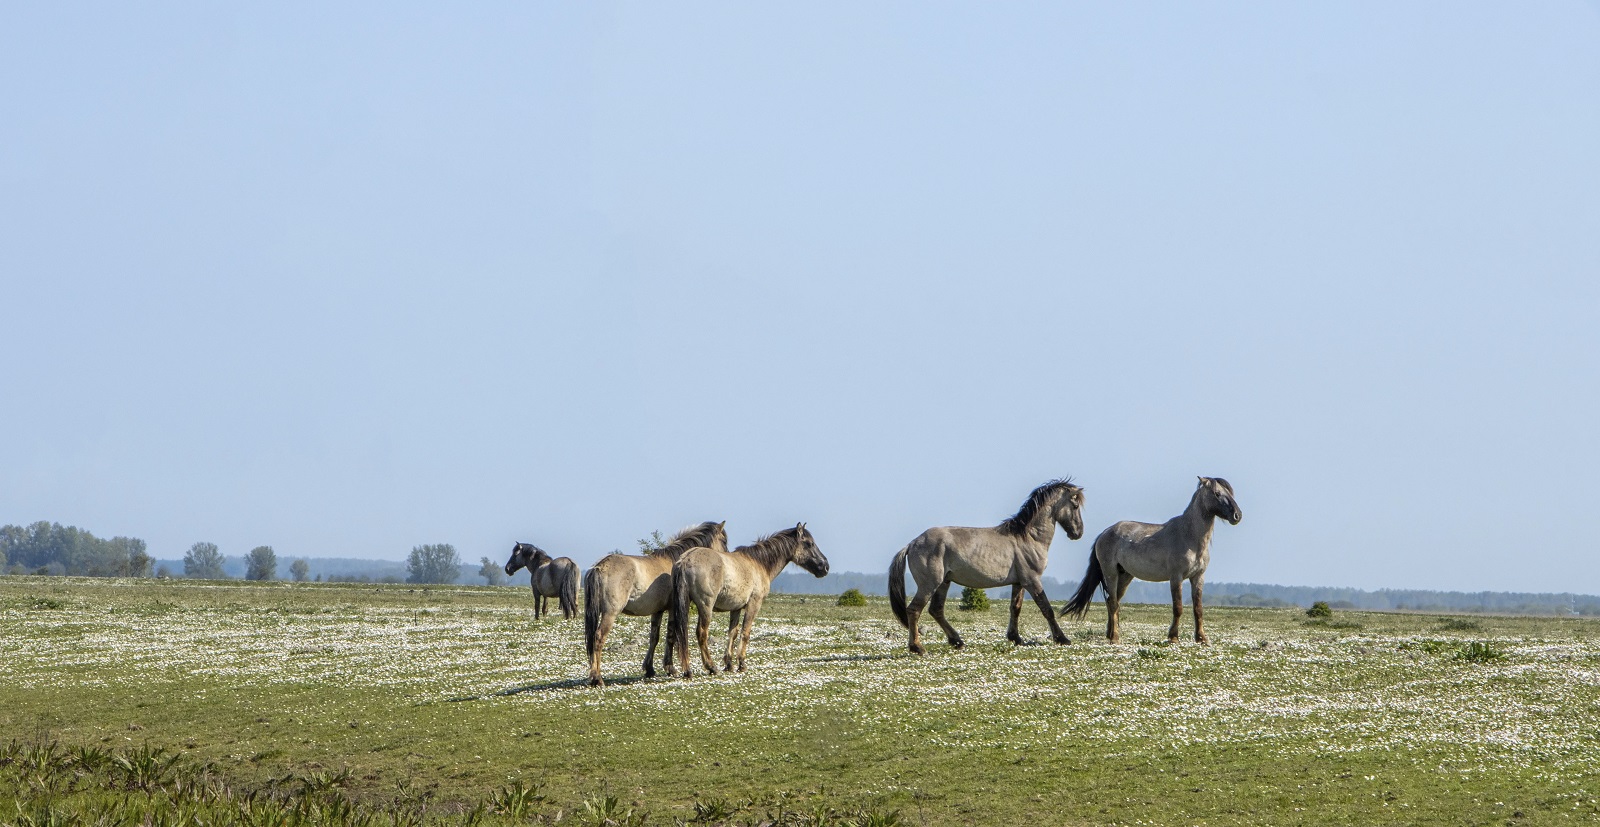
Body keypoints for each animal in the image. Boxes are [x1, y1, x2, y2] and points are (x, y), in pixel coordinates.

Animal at [585, 518, 729, 687]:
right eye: (724, 540)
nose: (726, 555)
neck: (675, 561)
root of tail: (599, 567)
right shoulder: (673, 609)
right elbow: (671, 636)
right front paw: (670, 668)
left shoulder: (657, 611)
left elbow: (654, 638)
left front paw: (650, 668)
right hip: (610, 613)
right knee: (598, 637)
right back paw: (597, 677)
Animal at [668, 521, 832, 678]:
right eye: (809, 543)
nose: (825, 567)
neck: (759, 563)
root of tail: (685, 560)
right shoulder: (754, 604)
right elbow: (745, 633)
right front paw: (741, 664)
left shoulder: (735, 608)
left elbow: (732, 633)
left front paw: (729, 664)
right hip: (705, 607)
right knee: (701, 633)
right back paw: (711, 667)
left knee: (680, 633)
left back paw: (688, 670)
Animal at [889, 476, 1088, 652]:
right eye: (1075, 505)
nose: (1078, 533)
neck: (1028, 537)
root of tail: (912, 544)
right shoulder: (1032, 580)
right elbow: (1047, 609)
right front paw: (1062, 638)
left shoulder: (1019, 582)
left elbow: (1015, 608)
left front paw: (1015, 638)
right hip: (929, 584)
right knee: (914, 610)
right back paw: (918, 648)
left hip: (944, 582)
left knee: (936, 610)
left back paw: (957, 642)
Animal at [1062, 473, 1248, 643]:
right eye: (1217, 493)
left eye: (1230, 493)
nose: (1237, 515)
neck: (1189, 537)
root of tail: (1105, 533)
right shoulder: (1176, 577)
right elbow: (1178, 607)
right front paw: (1173, 637)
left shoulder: (1198, 577)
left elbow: (1198, 609)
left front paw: (1202, 638)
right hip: (1111, 573)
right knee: (1113, 602)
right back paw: (1114, 638)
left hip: (1126, 575)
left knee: (1111, 602)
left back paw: (1111, 634)